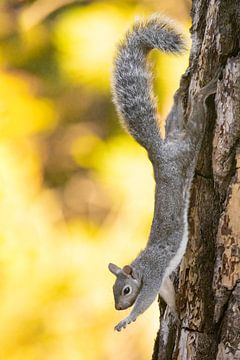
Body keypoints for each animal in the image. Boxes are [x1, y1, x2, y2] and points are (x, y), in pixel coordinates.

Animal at [109, 15, 219, 334]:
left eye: (125, 290)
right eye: (113, 290)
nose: (118, 307)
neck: (141, 266)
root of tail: (158, 154)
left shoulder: (154, 275)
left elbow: (146, 302)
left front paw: (127, 319)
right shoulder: (163, 279)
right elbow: (168, 294)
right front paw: (179, 311)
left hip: (187, 148)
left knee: (198, 115)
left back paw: (205, 89)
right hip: (174, 131)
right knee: (174, 116)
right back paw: (180, 92)